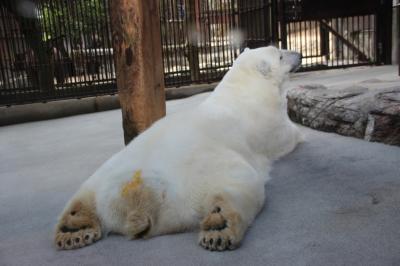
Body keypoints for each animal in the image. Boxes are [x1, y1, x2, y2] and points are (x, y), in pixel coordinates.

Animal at [54, 45, 304, 251]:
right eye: (280, 55)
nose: (300, 54)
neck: (242, 88)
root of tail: (139, 196)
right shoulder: (265, 119)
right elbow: (285, 137)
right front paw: (300, 133)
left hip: (108, 170)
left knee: (84, 193)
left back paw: (74, 227)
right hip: (204, 174)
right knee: (241, 185)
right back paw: (219, 226)